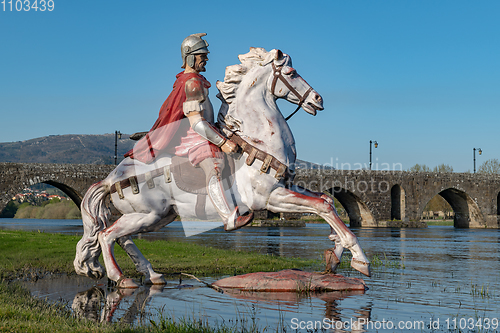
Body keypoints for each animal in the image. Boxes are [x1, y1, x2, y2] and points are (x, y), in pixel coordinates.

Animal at [74, 47, 372, 288]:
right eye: (291, 72)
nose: (318, 99)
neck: (259, 139)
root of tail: (111, 178)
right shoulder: (270, 198)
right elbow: (322, 206)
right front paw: (359, 258)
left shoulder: (285, 186)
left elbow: (326, 201)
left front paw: (335, 254)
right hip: (147, 214)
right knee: (106, 235)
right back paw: (120, 277)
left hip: (158, 217)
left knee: (120, 237)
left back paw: (152, 274)